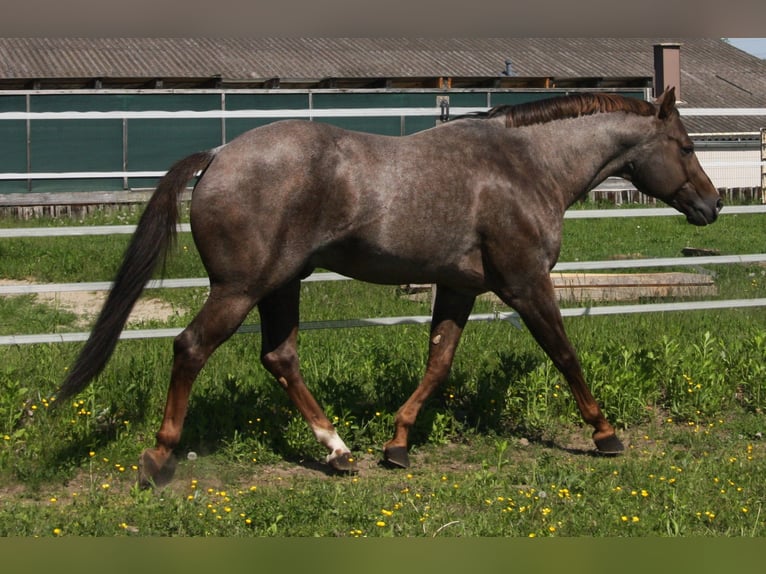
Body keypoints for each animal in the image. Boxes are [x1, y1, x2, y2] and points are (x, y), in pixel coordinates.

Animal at [55, 87, 721, 487]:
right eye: (686, 145)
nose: (712, 205)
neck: (525, 166)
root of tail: (217, 157)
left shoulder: (459, 288)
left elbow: (438, 364)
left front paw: (397, 443)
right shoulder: (527, 283)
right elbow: (564, 353)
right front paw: (605, 434)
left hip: (282, 285)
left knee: (280, 356)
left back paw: (339, 450)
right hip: (239, 288)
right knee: (192, 347)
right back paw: (159, 457)